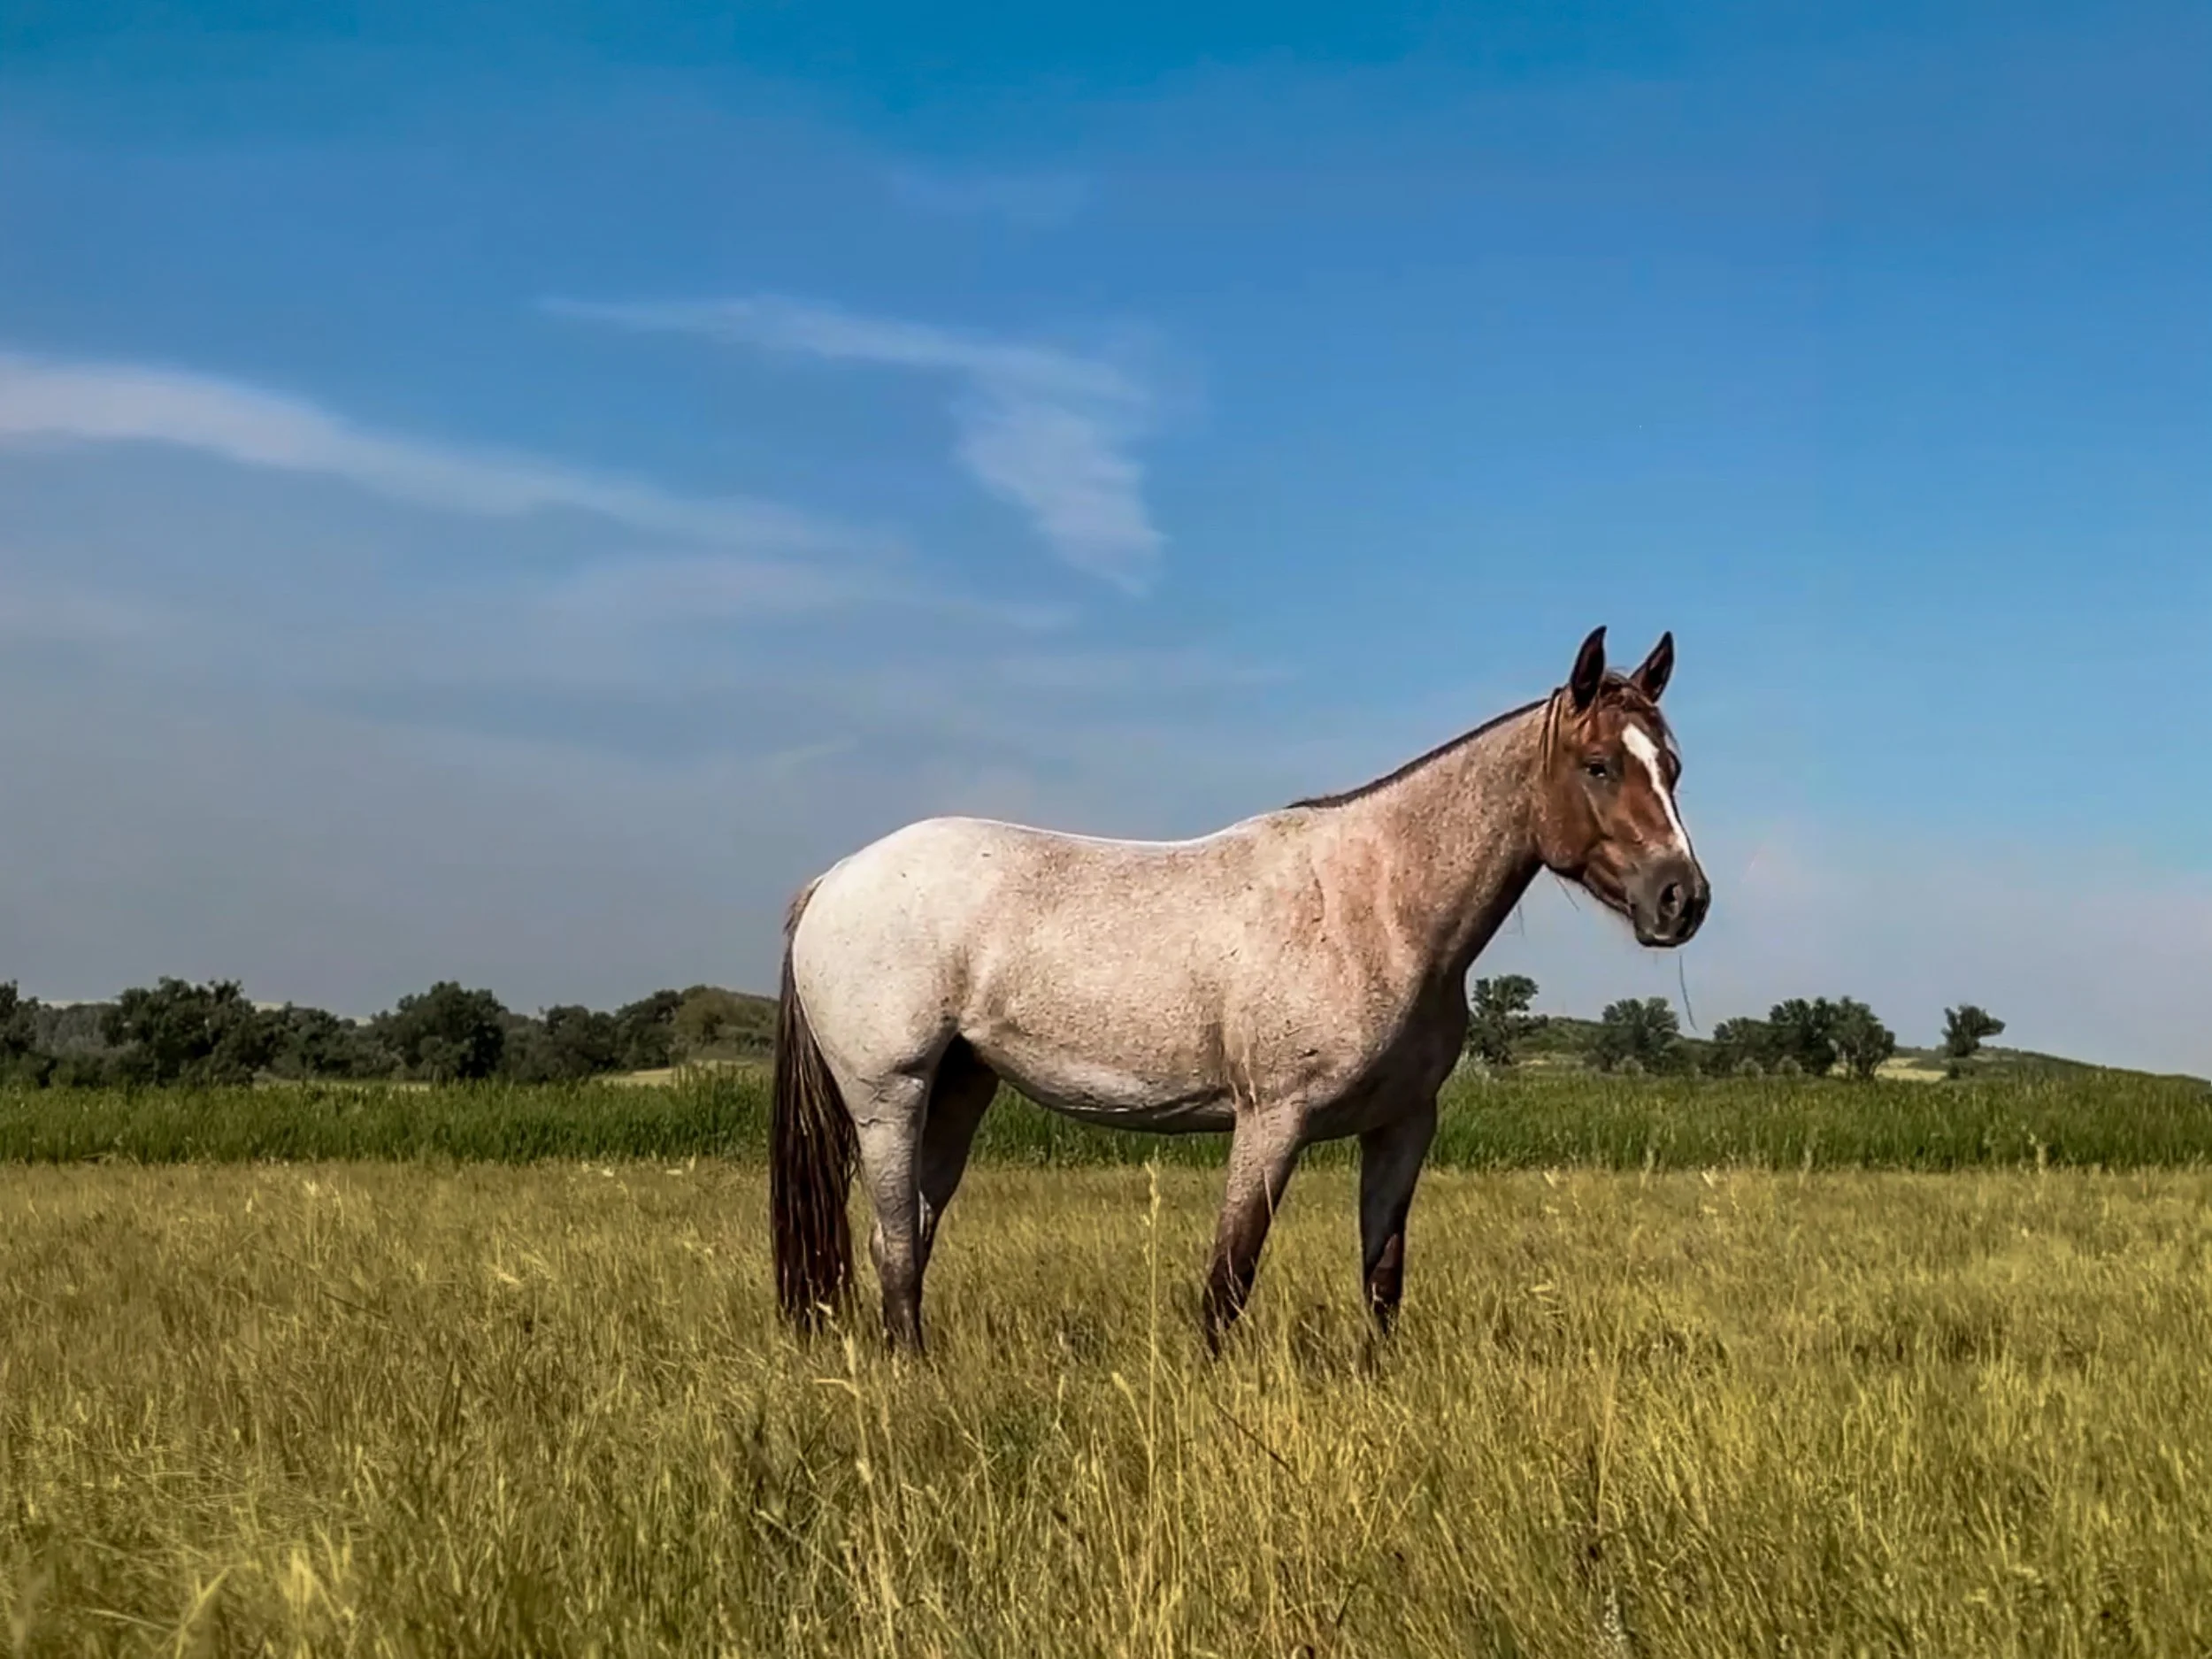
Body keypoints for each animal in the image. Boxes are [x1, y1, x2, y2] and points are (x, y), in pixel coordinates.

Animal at [769, 624, 1709, 1355]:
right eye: (1597, 765)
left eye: (1671, 766)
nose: (1682, 898)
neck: (1376, 902)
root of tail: (835, 877)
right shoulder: (1272, 1118)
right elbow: (1230, 1275)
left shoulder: (1404, 1125)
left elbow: (1382, 1276)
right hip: (889, 1096)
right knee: (894, 1243)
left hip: (960, 1089)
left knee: (915, 1234)